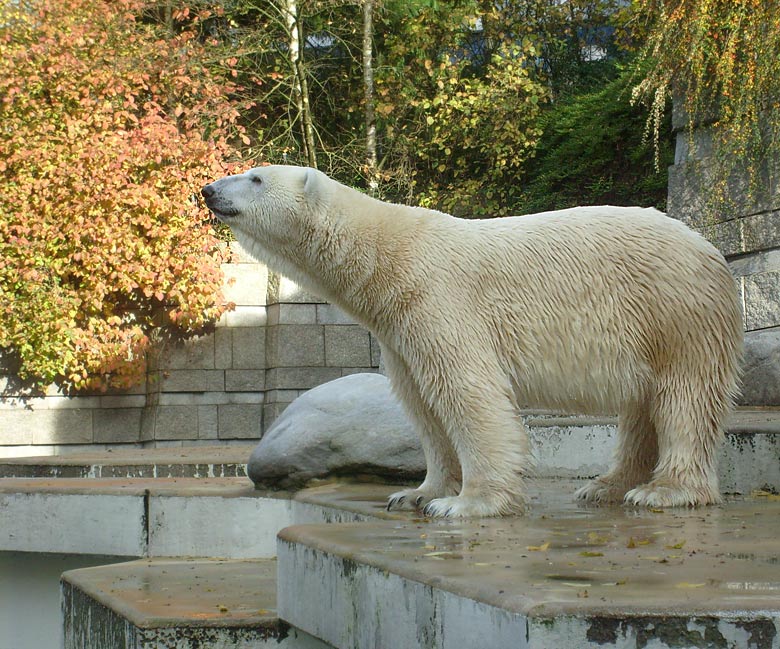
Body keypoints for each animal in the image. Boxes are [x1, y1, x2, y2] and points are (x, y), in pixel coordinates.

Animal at [201, 166, 744, 516]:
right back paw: (606, 487)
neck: (388, 258)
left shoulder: (440, 299)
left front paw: (468, 503)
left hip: (675, 310)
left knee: (683, 397)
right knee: (641, 404)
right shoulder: (400, 330)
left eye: (255, 177)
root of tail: (709, 248)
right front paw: (417, 494)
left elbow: (468, 393)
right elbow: (422, 406)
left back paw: (664, 491)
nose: (208, 189)